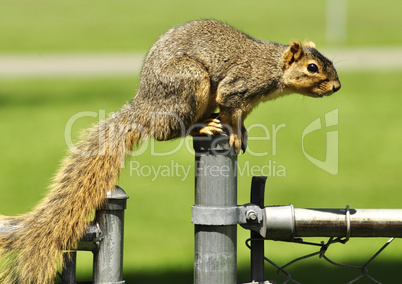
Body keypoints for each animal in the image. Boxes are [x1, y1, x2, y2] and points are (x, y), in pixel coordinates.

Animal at [0, 19, 340, 282]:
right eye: (312, 67)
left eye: (330, 63)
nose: (337, 87)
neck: (273, 69)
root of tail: (145, 106)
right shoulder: (238, 88)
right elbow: (231, 110)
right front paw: (232, 136)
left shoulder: (247, 101)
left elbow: (239, 118)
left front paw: (241, 133)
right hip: (189, 86)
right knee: (168, 131)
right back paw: (203, 127)